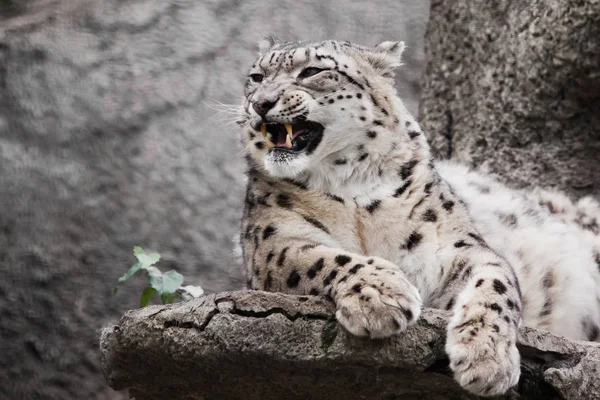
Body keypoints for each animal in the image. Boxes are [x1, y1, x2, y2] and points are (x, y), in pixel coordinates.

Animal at [236, 38, 600, 396]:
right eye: (256, 77)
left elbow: (495, 285)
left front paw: (486, 358)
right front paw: (381, 295)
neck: (350, 188)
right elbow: (323, 258)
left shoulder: (457, 246)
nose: (260, 103)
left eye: (312, 70)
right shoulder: (274, 243)